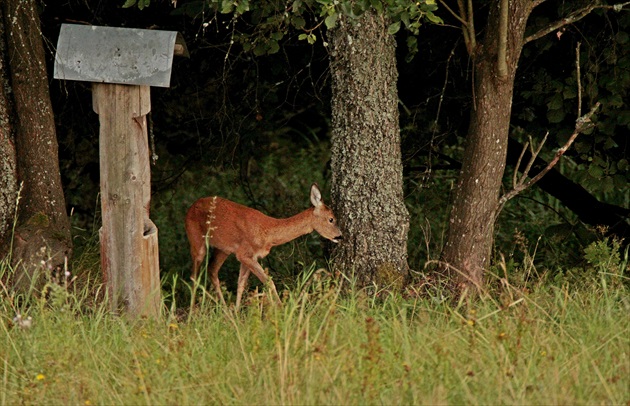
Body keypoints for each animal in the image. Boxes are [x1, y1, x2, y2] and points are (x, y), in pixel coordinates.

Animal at [185, 183, 344, 308]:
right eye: (331, 219)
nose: (340, 236)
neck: (268, 232)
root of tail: (191, 207)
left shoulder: (248, 256)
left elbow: (241, 284)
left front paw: (237, 313)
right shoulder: (244, 253)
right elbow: (269, 282)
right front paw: (281, 310)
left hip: (223, 248)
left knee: (212, 270)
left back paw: (225, 311)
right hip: (196, 238)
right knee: (194, 276)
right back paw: (193, 313)